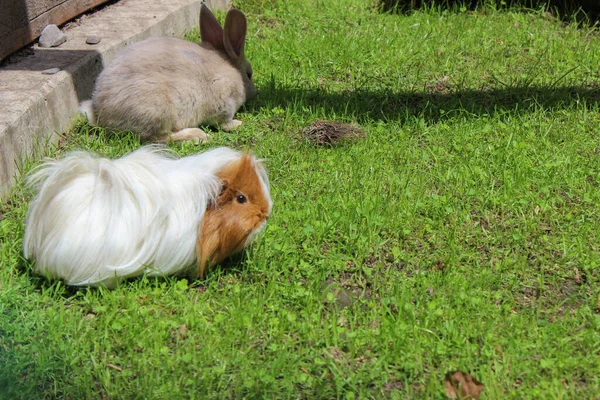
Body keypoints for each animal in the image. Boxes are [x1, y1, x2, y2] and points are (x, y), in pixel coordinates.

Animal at [80, 3, 255, 144]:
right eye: (249, 73)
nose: (254, 92)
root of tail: (99, 113)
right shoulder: (224, 104)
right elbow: (225, 123)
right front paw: (237, 124)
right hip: (159, 112)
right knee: (159, 138)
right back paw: (199, 136)